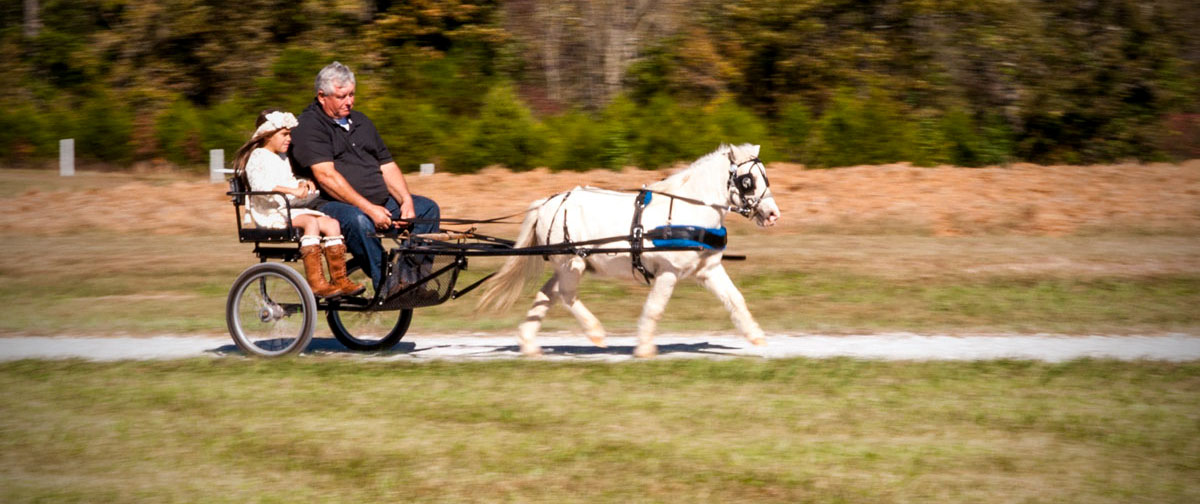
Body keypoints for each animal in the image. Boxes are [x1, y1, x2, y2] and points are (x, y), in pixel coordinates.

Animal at [477, 144, 777, 355]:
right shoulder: (668, 271)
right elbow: (655, 308)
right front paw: (643, 348)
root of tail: (547, 203)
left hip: (568, 264)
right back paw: (595, 332)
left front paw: (756, 336)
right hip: (572, 262)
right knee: (566, 294)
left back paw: (529, 344)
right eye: (748, 180)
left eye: (766, 177)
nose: (774, 214)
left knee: (547, 295)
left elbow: (735, 299)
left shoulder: (709, 269)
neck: (687, 210)